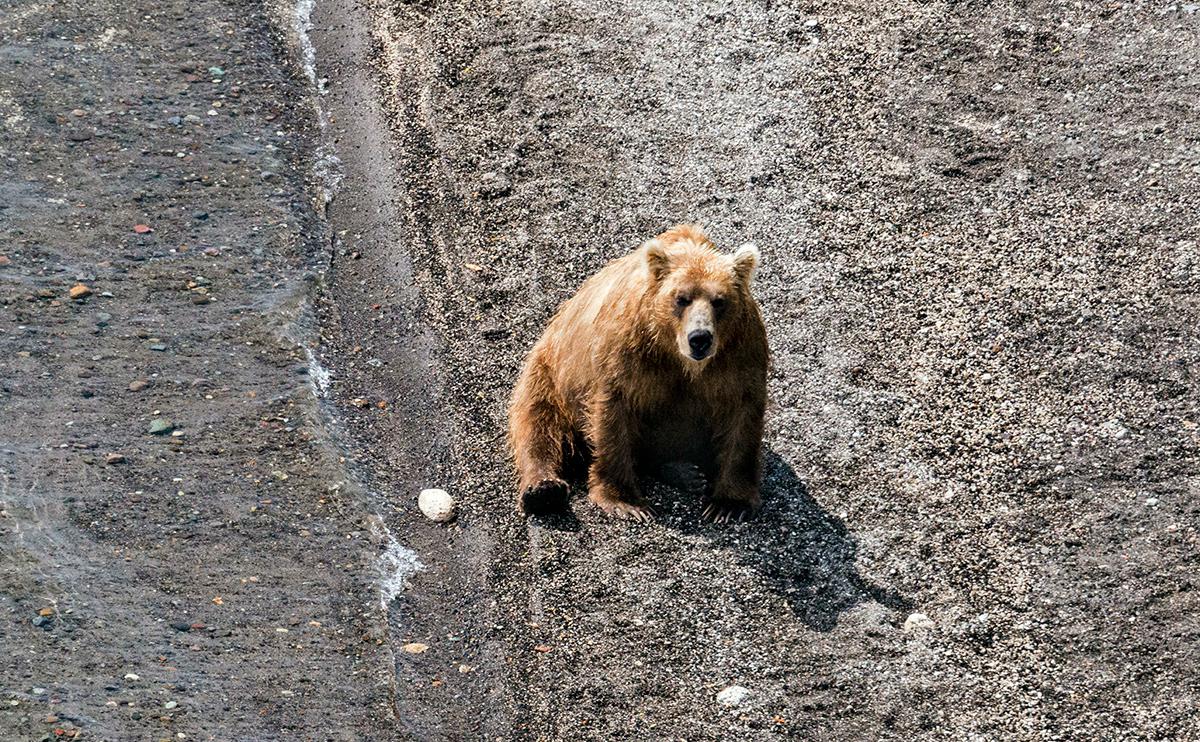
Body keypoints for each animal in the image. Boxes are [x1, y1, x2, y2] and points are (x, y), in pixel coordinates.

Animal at [506, 223, 768, 521]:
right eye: (681, 298)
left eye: (719, 301)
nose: (699, 338)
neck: (678, 357)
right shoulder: (628, 353)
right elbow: (613, 413)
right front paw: (626, 501)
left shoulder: (738, 355)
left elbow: (742, 416)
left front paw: (729, 504)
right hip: (548, 372)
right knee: (538, 422)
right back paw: (543, 489)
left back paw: (686, 473)